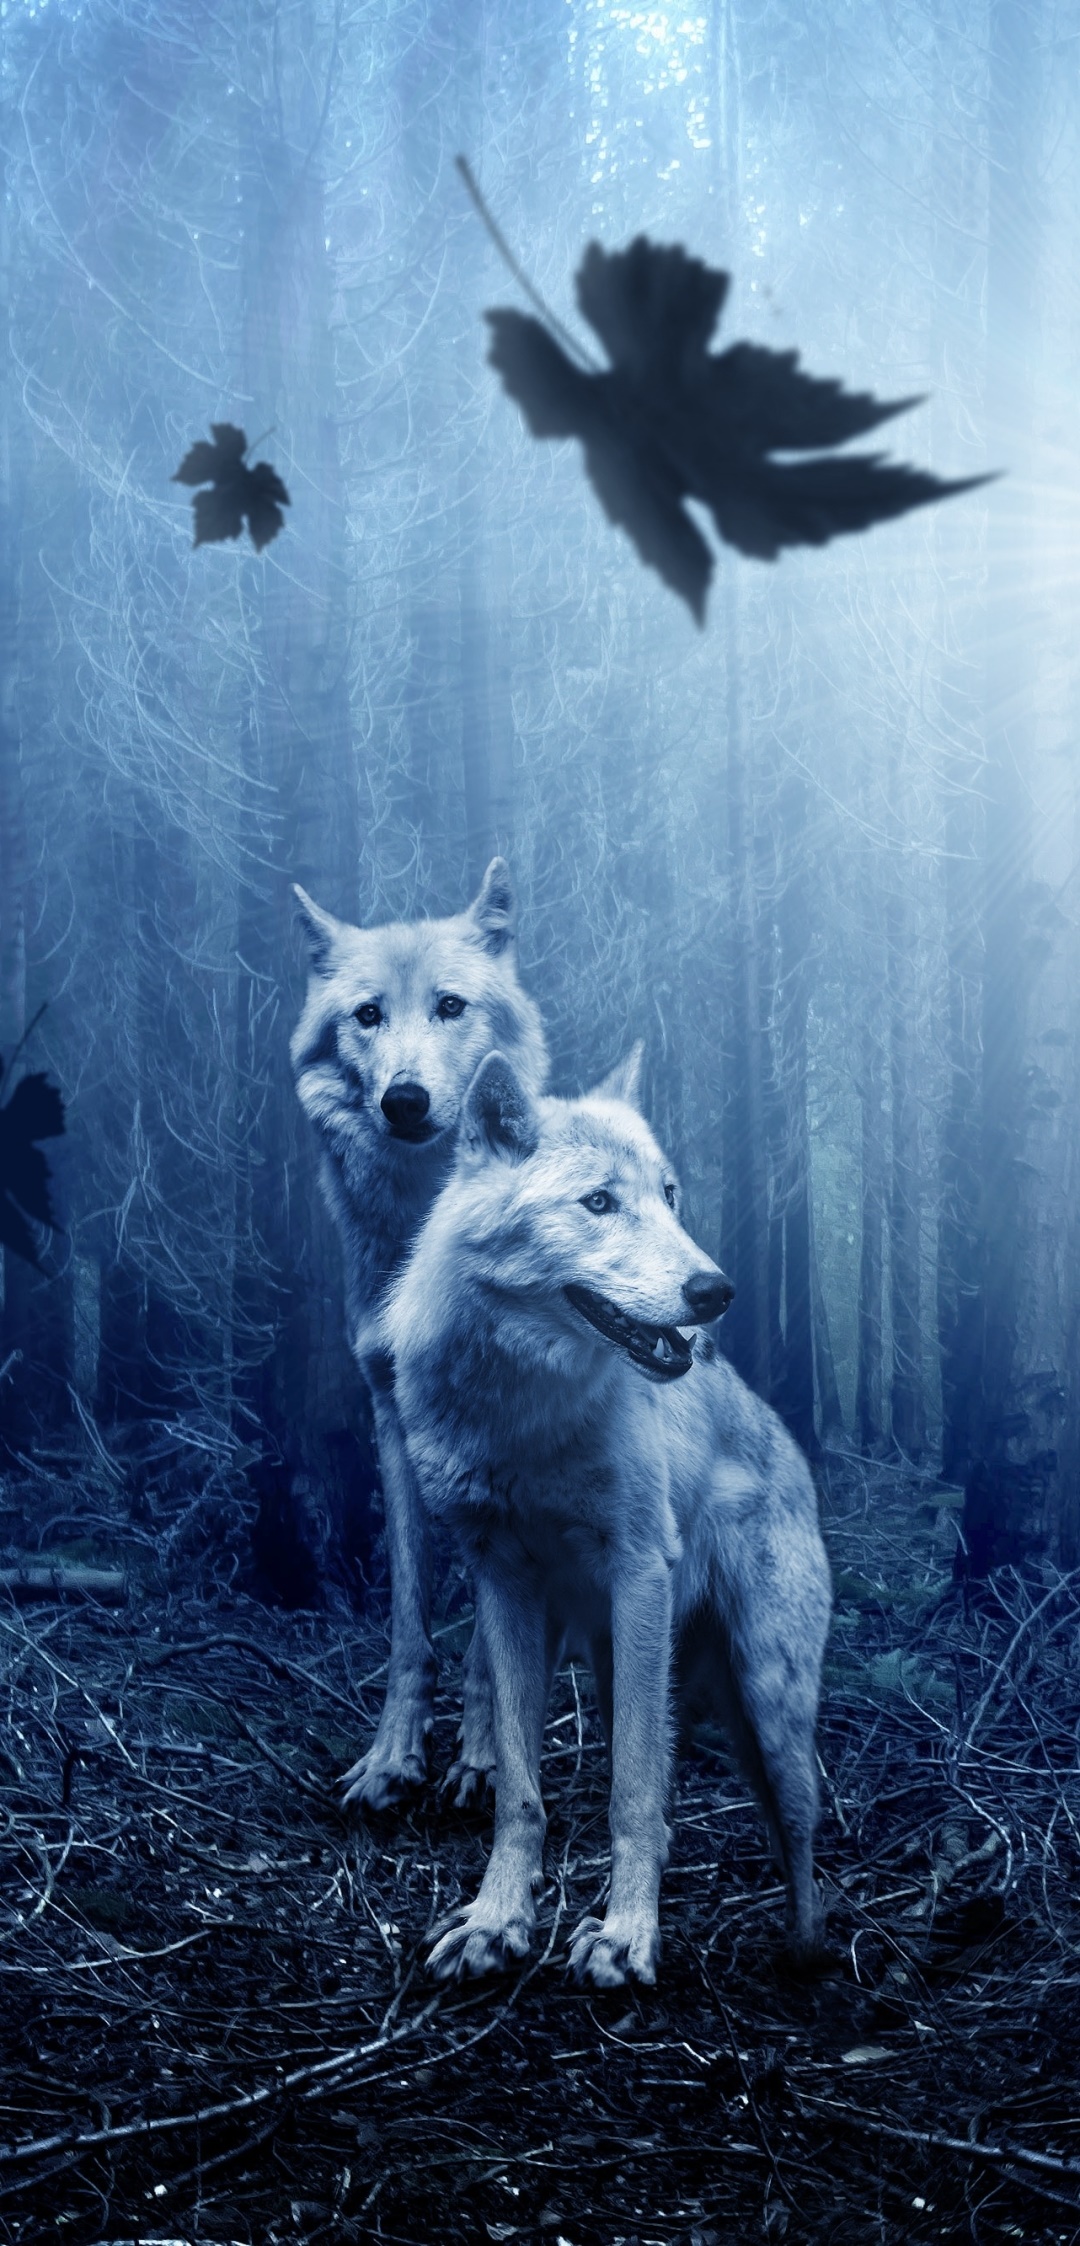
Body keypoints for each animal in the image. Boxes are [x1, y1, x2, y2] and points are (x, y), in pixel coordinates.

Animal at [291, 863, 547, 1809]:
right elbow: (409, 1619)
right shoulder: (392, 1418)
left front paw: (482, 1760)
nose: (404, 1100)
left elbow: (489, 1638)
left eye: (449, 1006)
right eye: (368, 1014)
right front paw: (392, 1758)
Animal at [384, 1048, 831, 1987]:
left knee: (799, 1832)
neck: (521, 1416)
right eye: (598, 1202)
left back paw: (805, 1954)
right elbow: (520, 1790)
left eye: (670, 1196)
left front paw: (627, 1938)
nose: (716, 1290)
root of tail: (787, 1445)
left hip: (767, 1697)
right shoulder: (503, 1582)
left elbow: (630, 1791)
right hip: (617, 1660)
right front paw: (496, 1922)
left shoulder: (638, 1572)